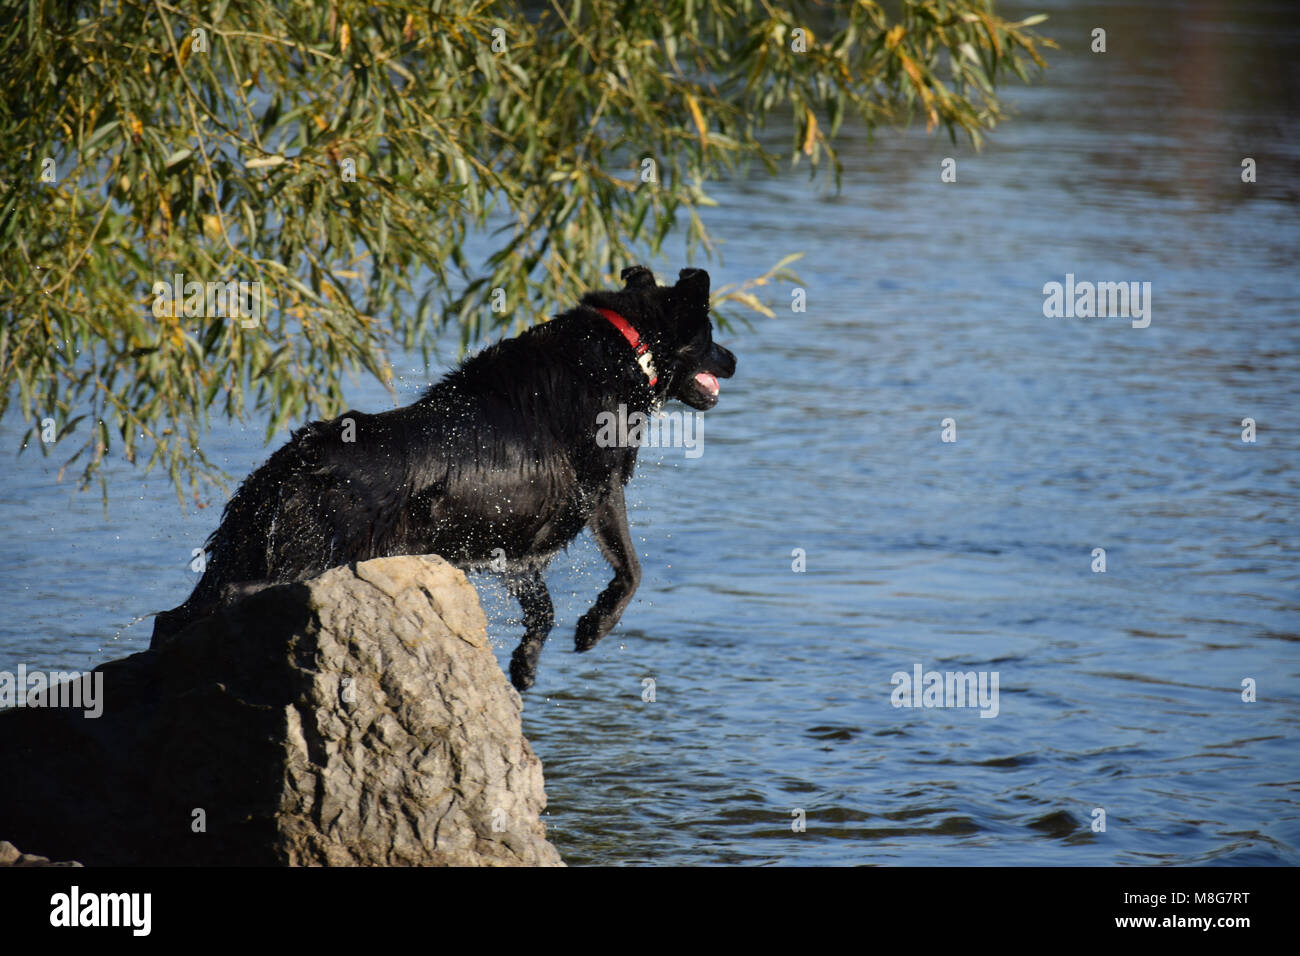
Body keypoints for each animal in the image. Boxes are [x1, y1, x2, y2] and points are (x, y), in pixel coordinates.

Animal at [152, 265, 738, 691]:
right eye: (710, 335)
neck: (626, 350)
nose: (733, 360)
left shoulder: (512, 541)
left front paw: (524, 665)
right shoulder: (600, 490)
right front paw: (593, 628)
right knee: (229, 597)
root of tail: (294, 460)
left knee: (170, 616)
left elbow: (541, 606)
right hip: (309, 556)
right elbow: (631, 569)